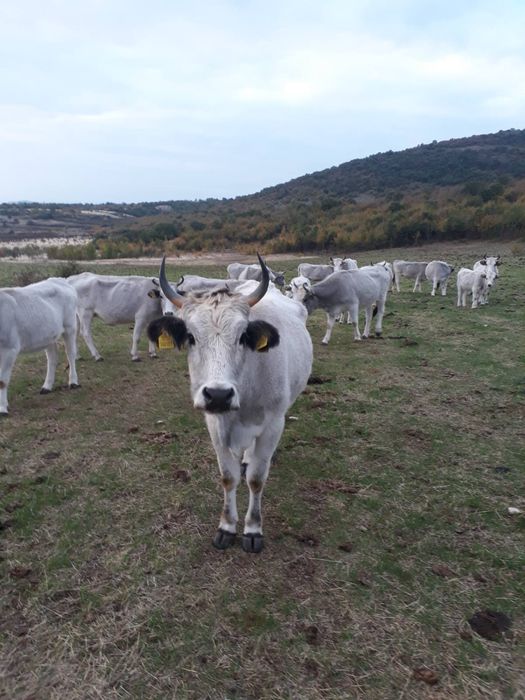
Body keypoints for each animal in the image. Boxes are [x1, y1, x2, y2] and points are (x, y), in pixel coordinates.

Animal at [0, 278, 80, 415]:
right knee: (52, 358)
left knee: (70, 354)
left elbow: (2, 381)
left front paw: (2, 408)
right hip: (49, 335)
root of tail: (61, 280)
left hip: (70, 327)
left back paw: (73, 382)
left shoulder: (10, 349)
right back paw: (47, 387)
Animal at [147, 255, 312, 553]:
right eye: (191, 337)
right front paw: (226, 526)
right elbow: (228, 476)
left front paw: (253, 529)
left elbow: (256, 479)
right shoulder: (214, 423)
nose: (218, 394)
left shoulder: (272, 424)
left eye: (242, 337)